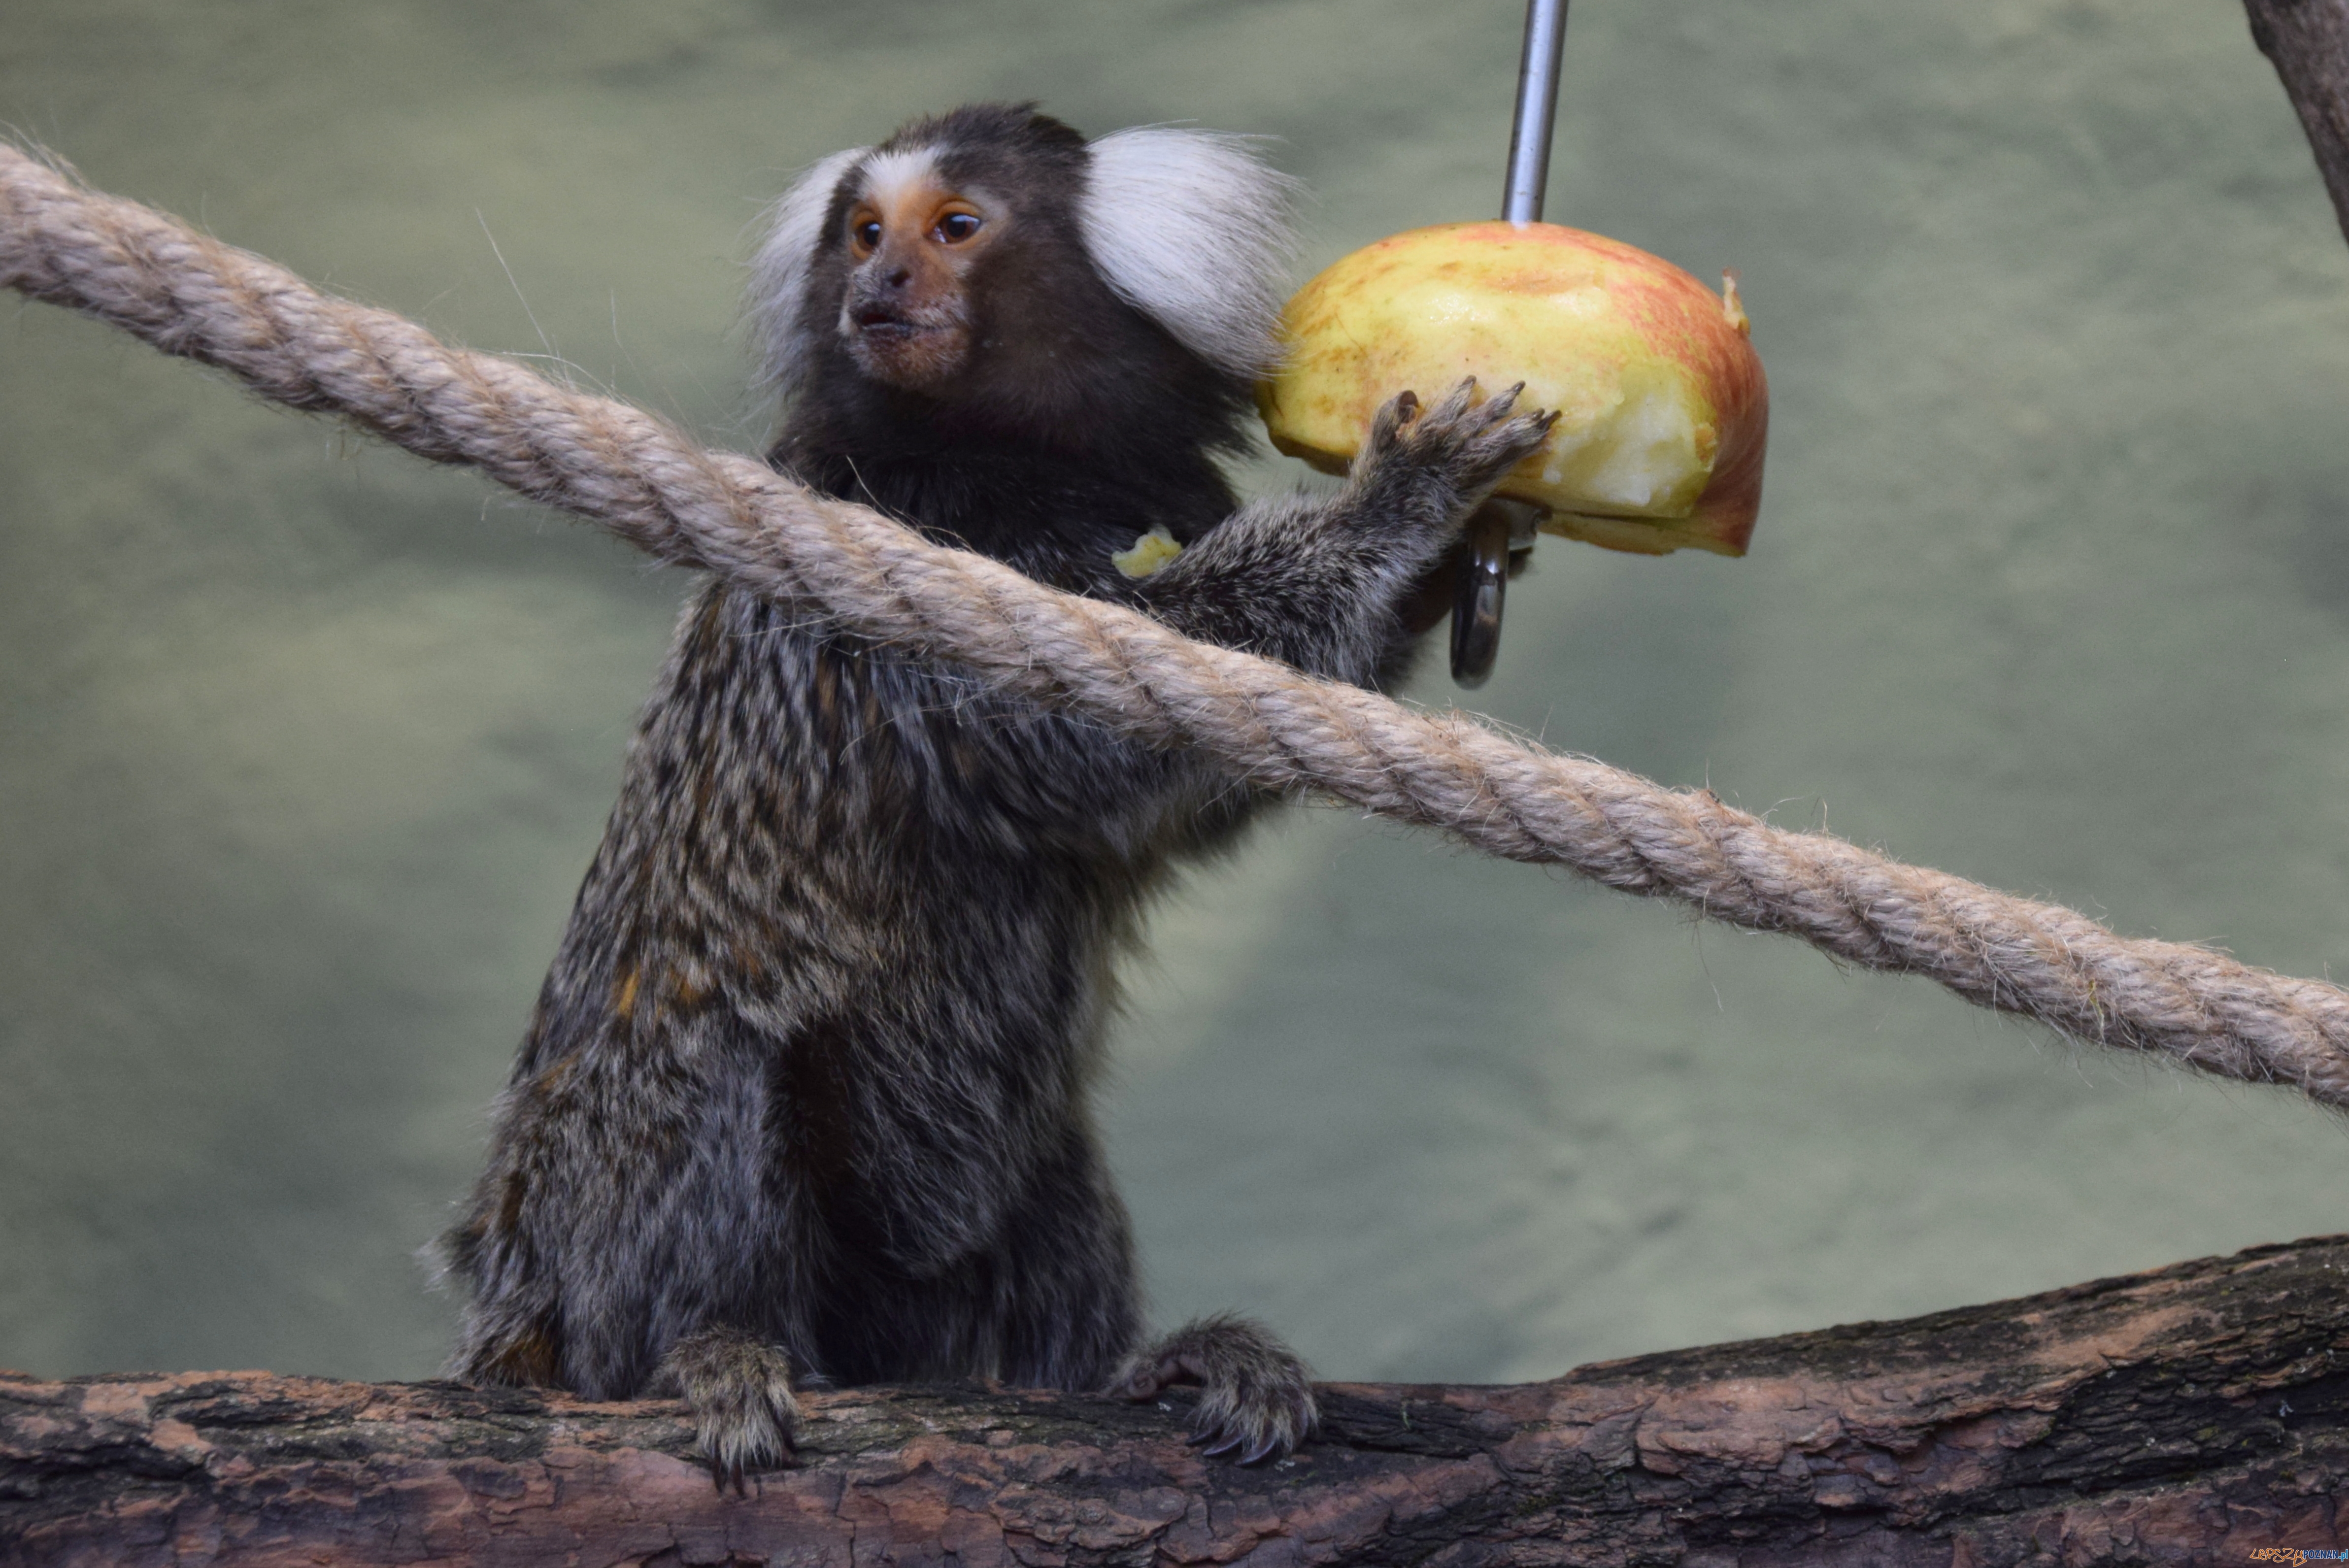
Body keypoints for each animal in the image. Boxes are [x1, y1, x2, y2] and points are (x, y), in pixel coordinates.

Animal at [436, 107, 1559, 1483]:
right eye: (866, 232)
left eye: (954, 228)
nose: (876, 287)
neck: (1013, 452)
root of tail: (516, 1297)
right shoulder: (889, 535)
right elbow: (1065, 738)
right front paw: (1400, 505)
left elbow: (1179, 796)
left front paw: (1456, 564)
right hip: (595, 1215)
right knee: (709, 1062)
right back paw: (707, 1349)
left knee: (1036, 1188)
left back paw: (1127, 1373)